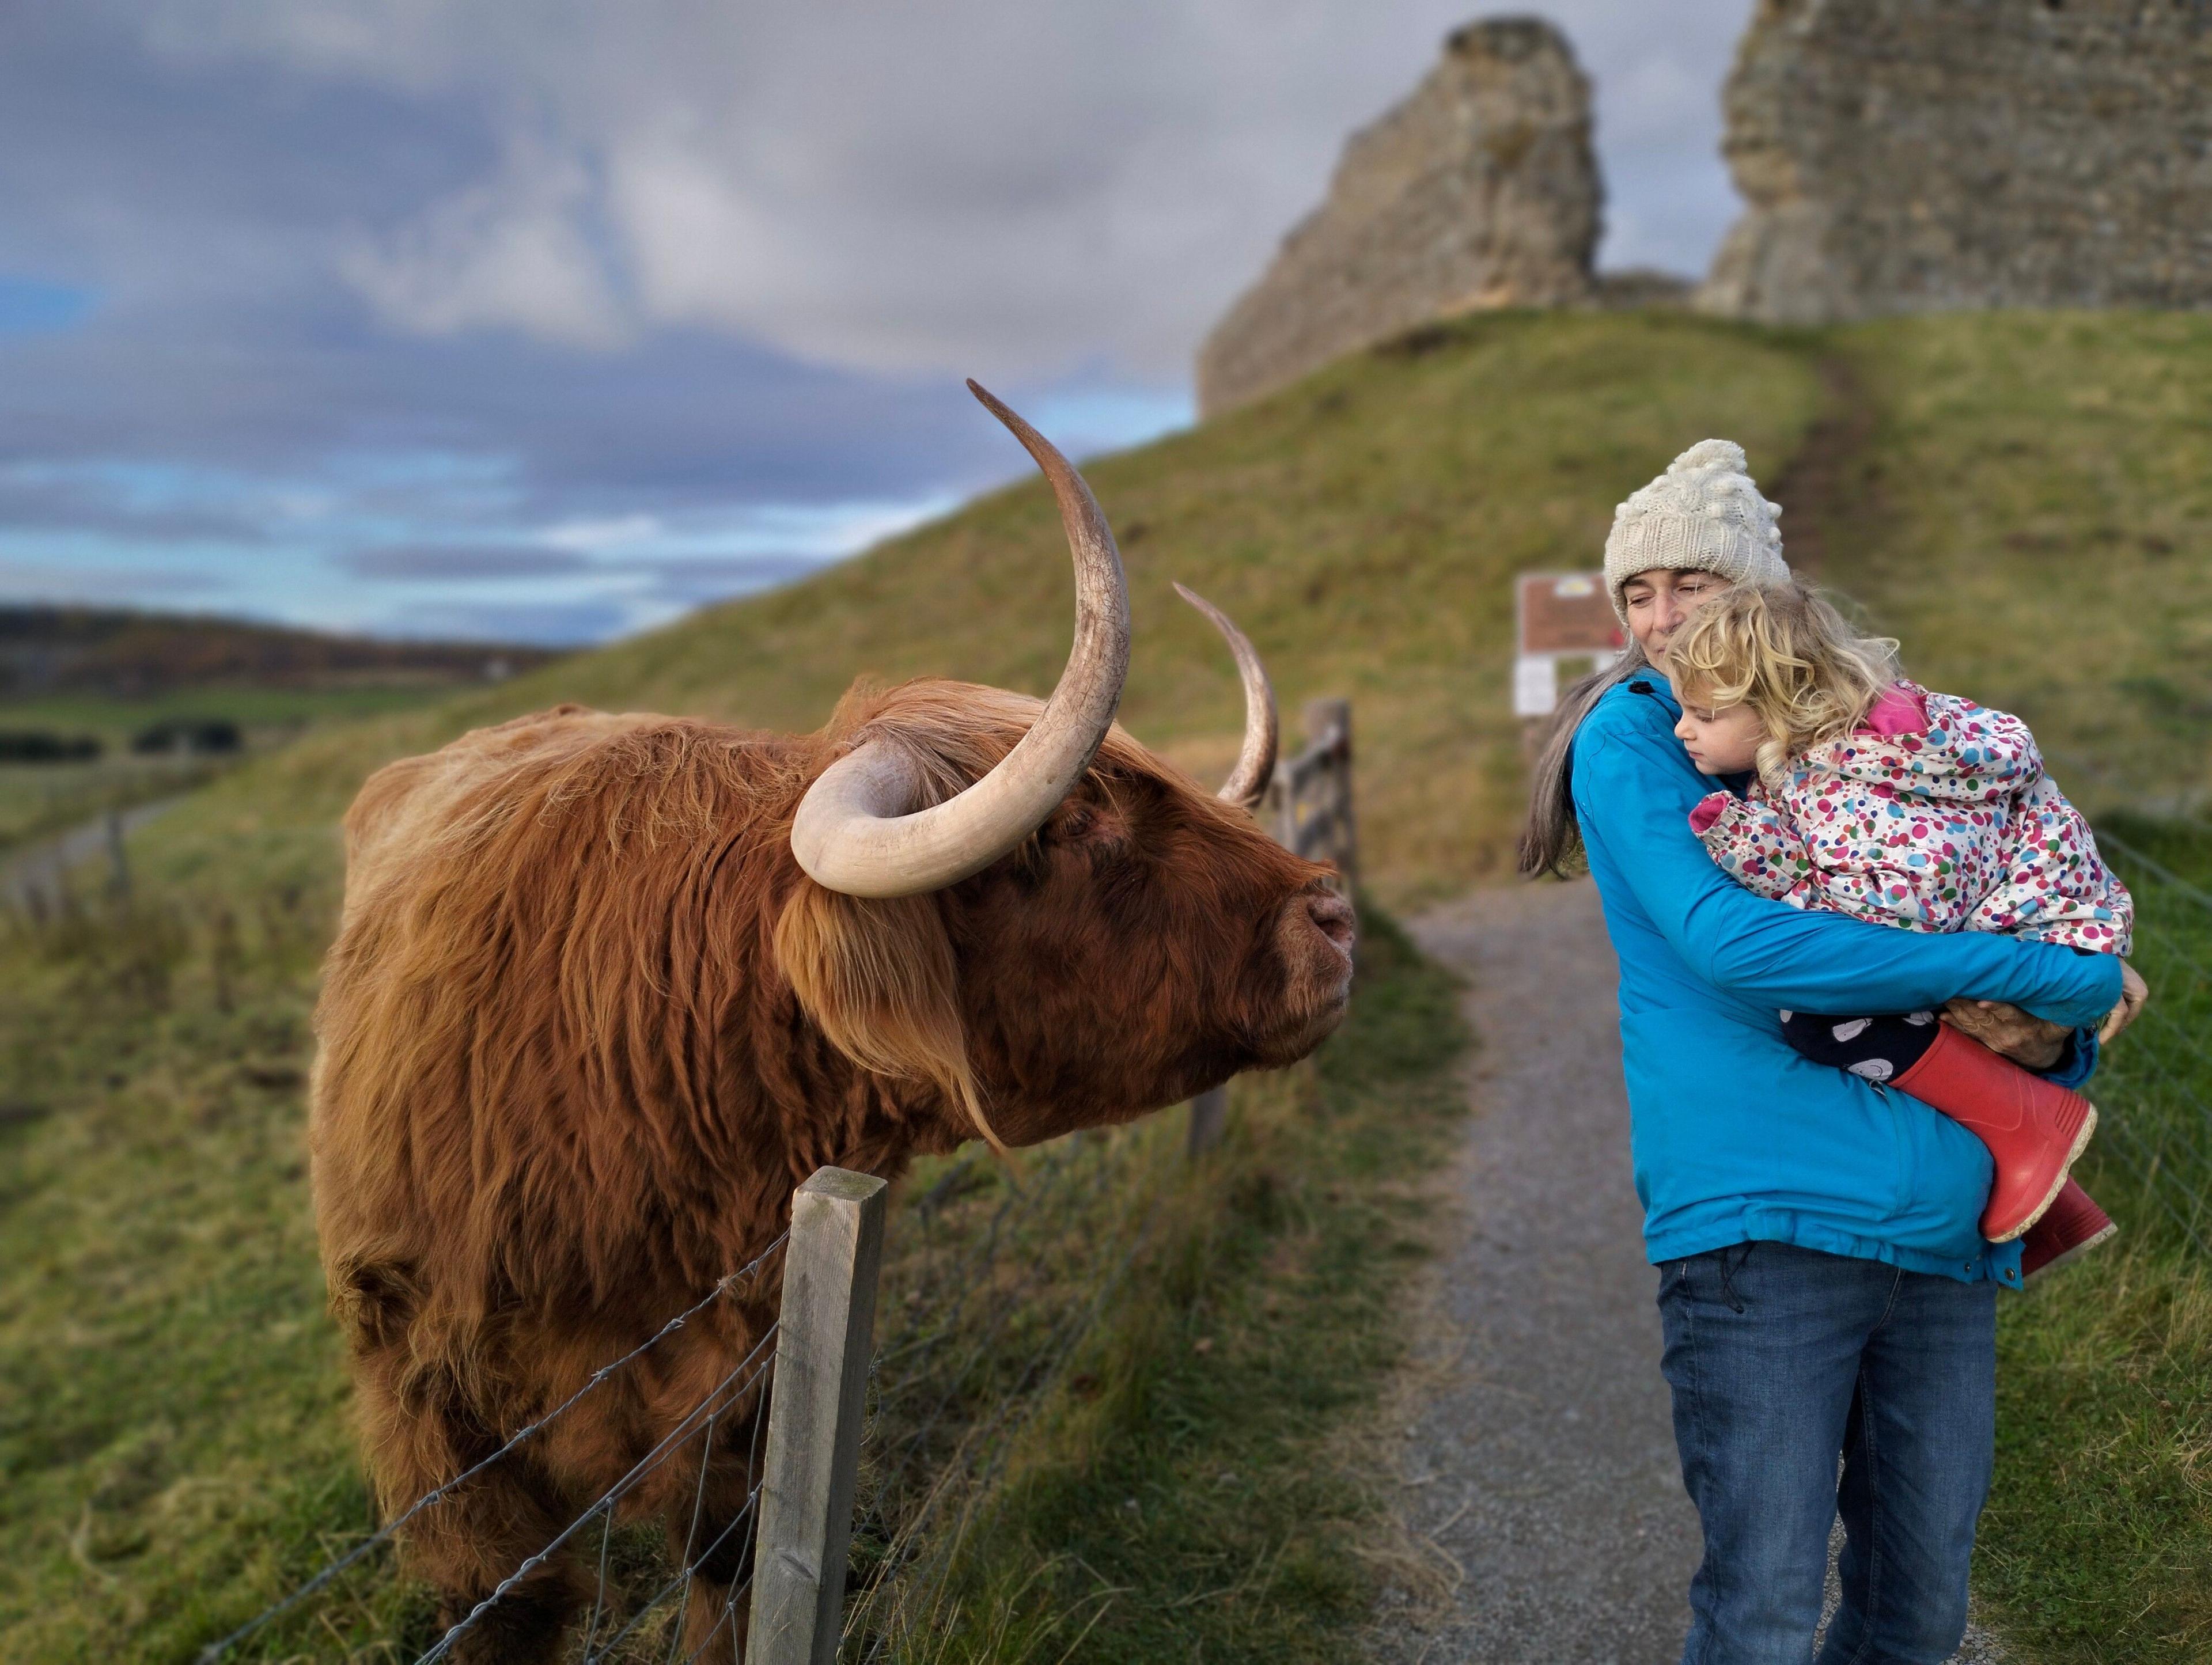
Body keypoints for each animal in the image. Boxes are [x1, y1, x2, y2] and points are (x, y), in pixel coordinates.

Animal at [305, 382, 1354, 1653]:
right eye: (1074, 829)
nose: (1335, 916)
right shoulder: (432, 1419)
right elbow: (513, 1606)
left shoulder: (742, 1369)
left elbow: (731, 1554)